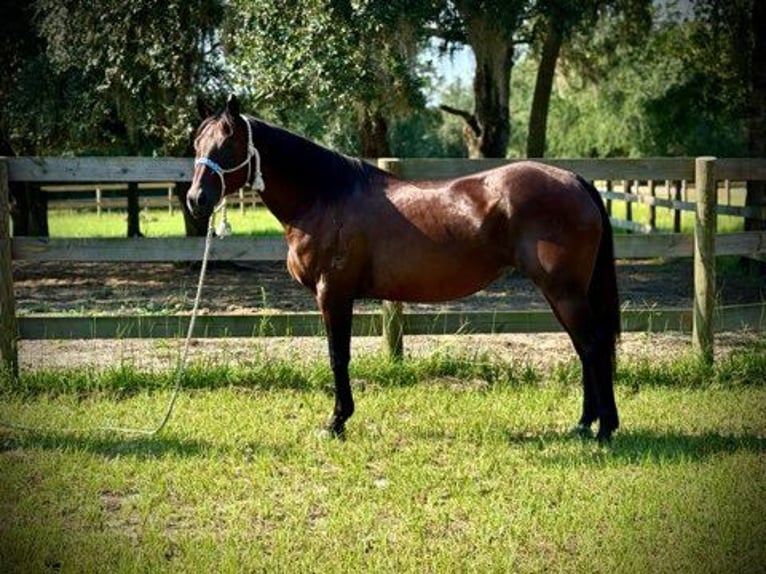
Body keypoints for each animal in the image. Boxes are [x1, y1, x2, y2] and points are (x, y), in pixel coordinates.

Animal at [187, 95, 621, 442]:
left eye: (227, 144)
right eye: (197, 143)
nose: (195, 199)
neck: (325, 195)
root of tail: (574, 179)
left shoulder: (334, 293)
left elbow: (338, 356)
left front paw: (336, 423)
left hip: (564, 291)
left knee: (593, 345)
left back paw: (604, 428)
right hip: (562, 292)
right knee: (584, 348)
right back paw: (584, 424)